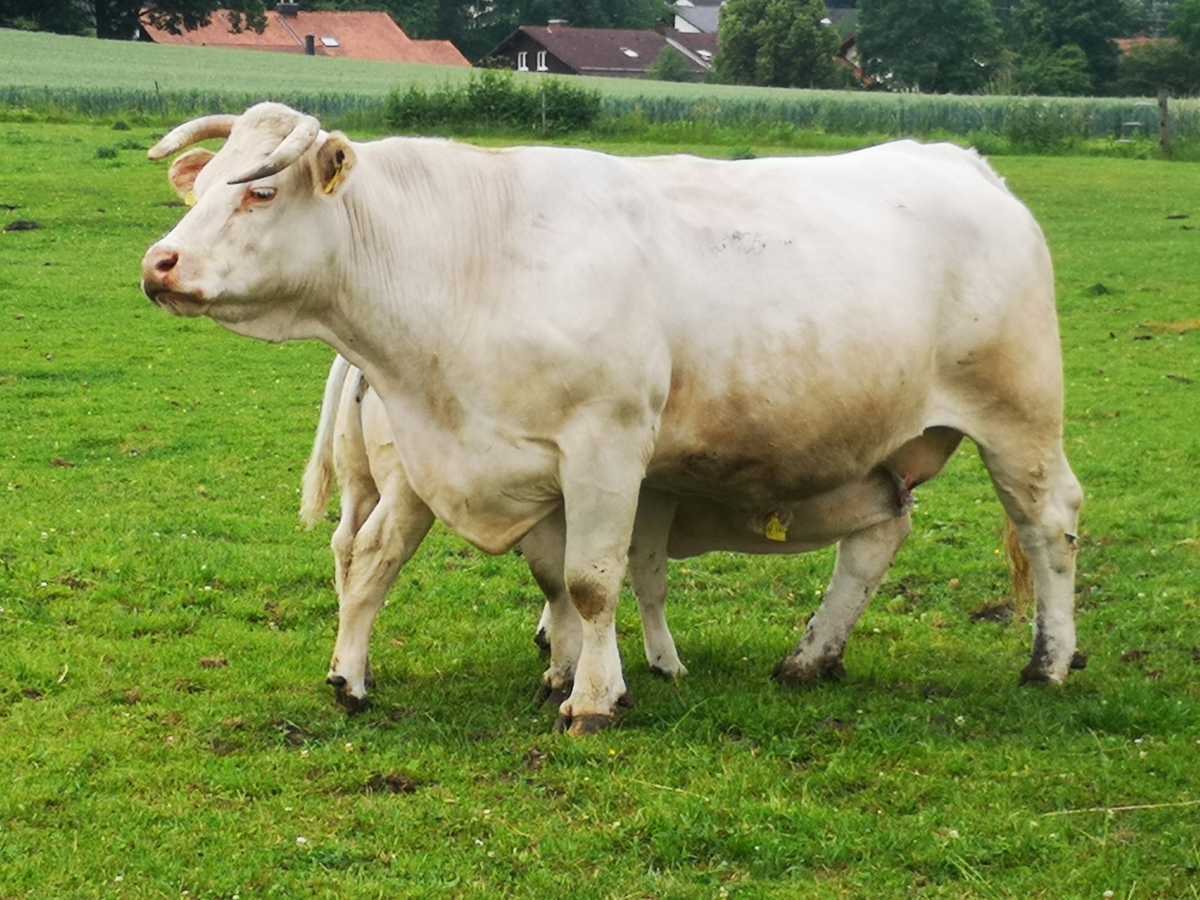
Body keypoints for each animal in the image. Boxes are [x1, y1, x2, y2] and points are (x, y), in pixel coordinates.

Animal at [141, 102, 1083, 736]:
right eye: (205, 186)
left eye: (260, 192)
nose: (159, 263)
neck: (472, 261)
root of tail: (961, 161)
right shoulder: (495, 462)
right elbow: (544, 579)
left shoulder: (606, 446)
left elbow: (594, 581)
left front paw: (593, 701)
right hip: (879, 448)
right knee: (877, 541)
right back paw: (811, 656)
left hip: (1020, 416)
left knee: (1051, 522)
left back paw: (1050, 662)